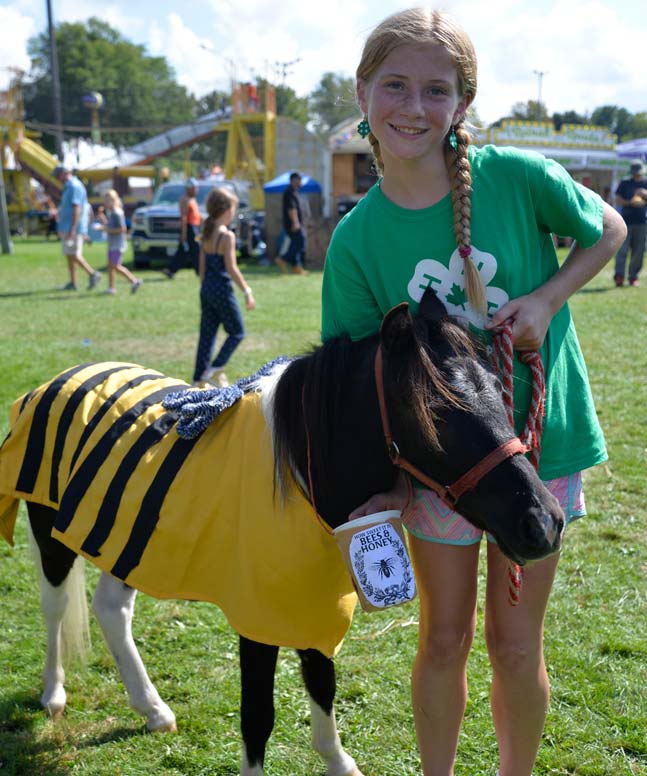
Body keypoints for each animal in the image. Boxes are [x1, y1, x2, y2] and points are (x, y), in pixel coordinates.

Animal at [0, 290, 564, 776]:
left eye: (498, 388)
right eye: (435, 412)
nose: (543, 521)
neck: (298, 473)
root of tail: (64, 377)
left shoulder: (311, 602)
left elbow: (322, 682)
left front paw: (338, 762)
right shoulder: (257, 617)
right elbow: (258, 716)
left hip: (125, 538)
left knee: (111, 609)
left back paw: (151, 708)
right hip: (51, 534)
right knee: (56, 607)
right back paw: (54, 694)